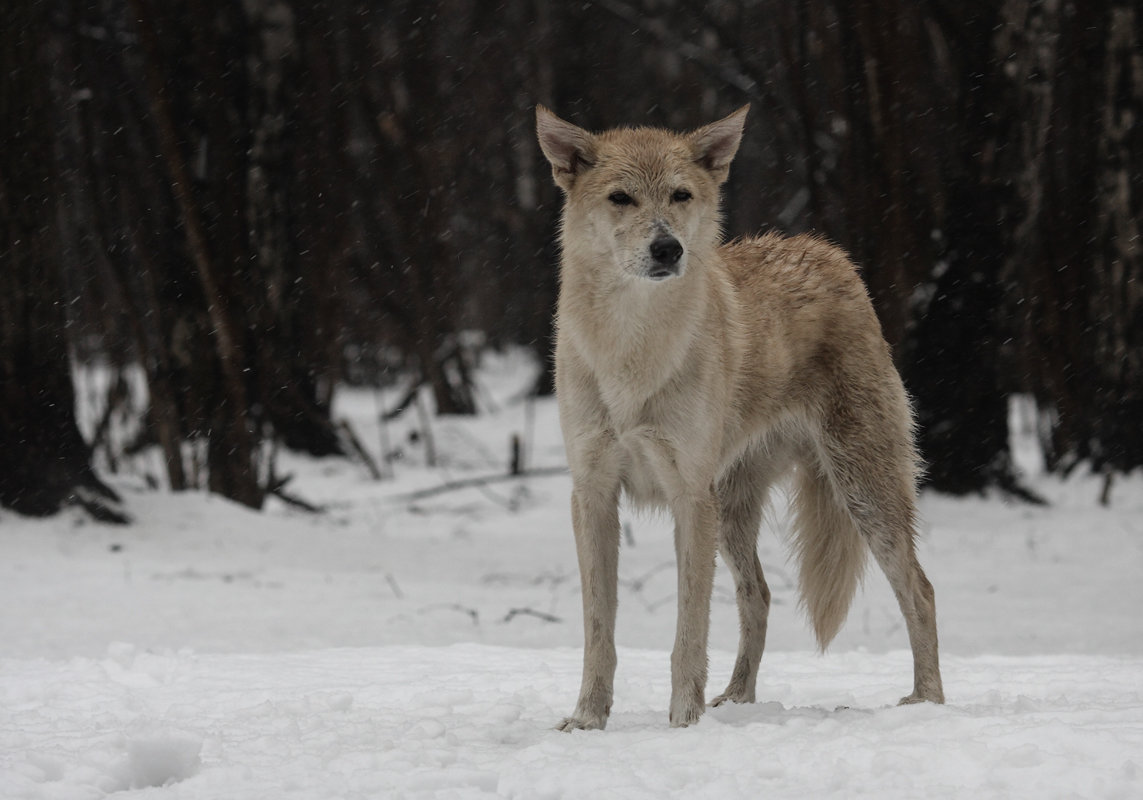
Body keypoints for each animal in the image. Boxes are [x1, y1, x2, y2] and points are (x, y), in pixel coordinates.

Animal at [534, 106, 946, 731]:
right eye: (621, 198)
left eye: (679, 195)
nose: (667, 249)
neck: (633, 351)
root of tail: (829, 252)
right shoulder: (594, 496)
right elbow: (599, 633)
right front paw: (587, 721)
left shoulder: (688, 497)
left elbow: (688, 632)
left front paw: (683, 722)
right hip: (733, 511)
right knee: (761, 596)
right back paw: (736, 697)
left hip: (863, 494)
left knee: (920, 592)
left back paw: (927, 703)